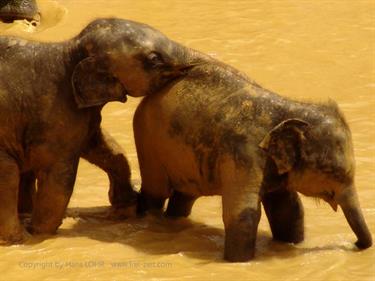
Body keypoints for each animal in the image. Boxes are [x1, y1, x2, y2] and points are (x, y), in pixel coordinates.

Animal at [0, 17, 200, 242]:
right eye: (154, 59)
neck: (69, 49)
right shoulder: (55, 115)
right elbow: (60, 178)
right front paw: (40, 234)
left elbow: (103, 148)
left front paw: (125, 208)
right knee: (8, 175)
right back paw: (19, 239)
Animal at [134, 58, 374, 260]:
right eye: (332, 171)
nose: (353, 244)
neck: (289, 109)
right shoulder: (243, 154)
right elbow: (243, 213)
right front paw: (238, 262)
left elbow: (289, 210)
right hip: (147, 142)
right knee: (157, 191)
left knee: (185, 196)